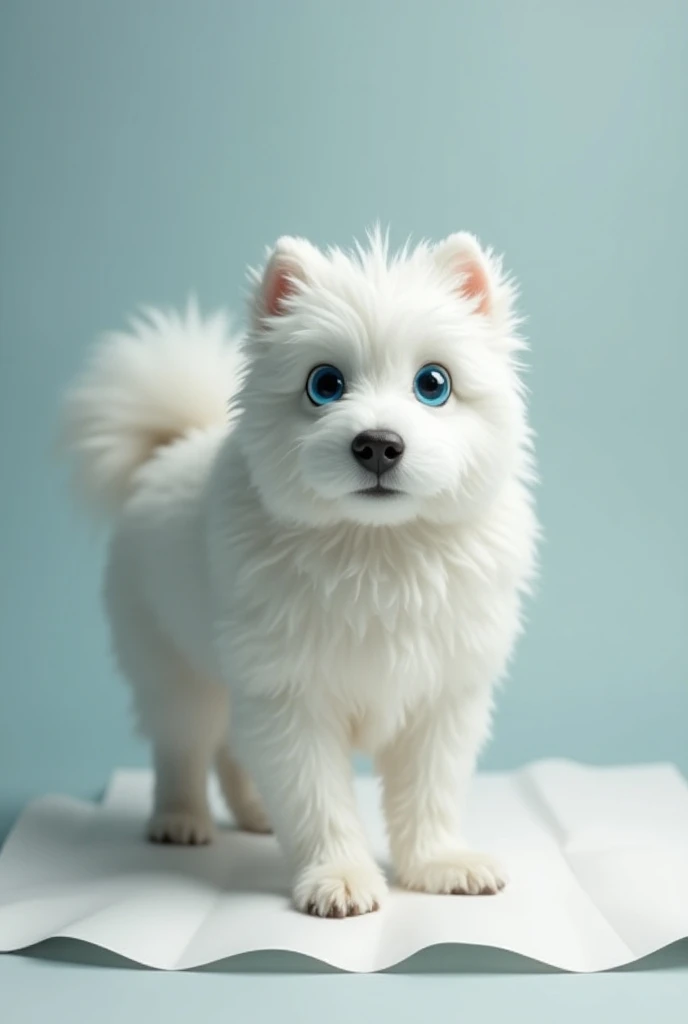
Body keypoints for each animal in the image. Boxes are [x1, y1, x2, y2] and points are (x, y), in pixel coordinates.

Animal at [63, 234, 536, 921]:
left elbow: (431, 791)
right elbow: (318, 797)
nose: (378, 444)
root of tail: (169, 447)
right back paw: (180, 820)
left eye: (433, 383)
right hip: (175, 668)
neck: (378, 549)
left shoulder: (443, 696)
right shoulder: (291, 697)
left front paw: (440, 864)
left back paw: (256, 813)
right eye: (325, 384)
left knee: (232, 749)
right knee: (183, 745)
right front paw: (339, 877)